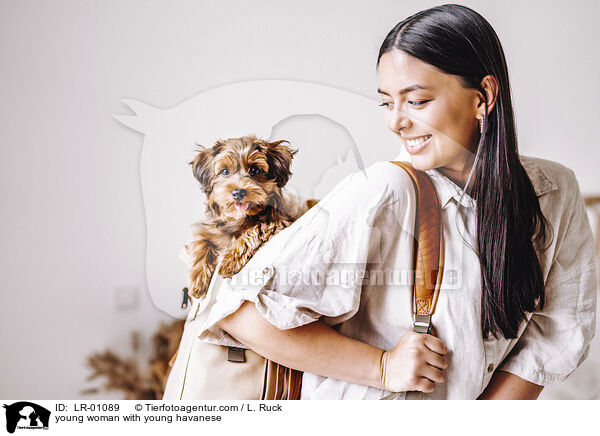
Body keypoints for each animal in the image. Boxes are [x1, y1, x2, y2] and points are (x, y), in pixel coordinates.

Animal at [188, 135, 298, 298]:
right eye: (225, 171)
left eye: (254, 170)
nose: (238, 192)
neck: (239, 217)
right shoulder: (209, 229)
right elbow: (201, 243)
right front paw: (197, 281)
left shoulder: (276, 222)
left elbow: (253, 231)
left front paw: (229, 261)